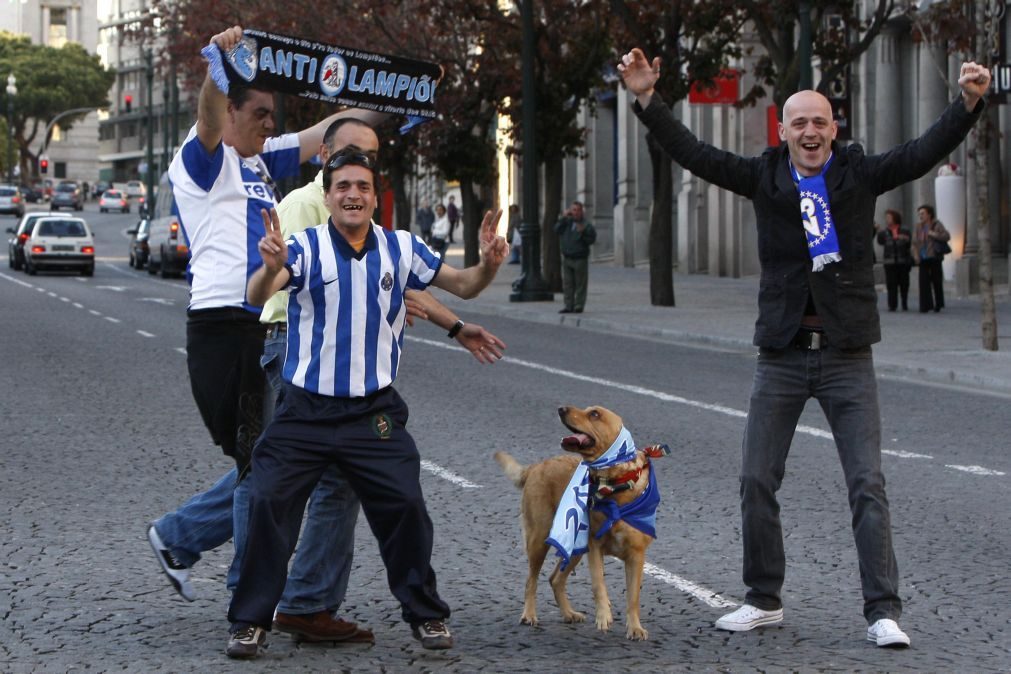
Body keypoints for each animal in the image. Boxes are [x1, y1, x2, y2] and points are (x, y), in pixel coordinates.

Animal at [495, 404, 667, 642]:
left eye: (594, 414)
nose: (561, 408)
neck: (614, 488)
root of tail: (536, 465)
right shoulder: (595, 547)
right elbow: (598, 585)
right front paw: (604, 615)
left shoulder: (636, 555)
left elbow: (633, 597)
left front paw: (634, 628)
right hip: (540, 540)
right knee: (532, 580)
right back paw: (529, 614)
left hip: (574, 547)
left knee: (555, 579)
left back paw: (568, 613)